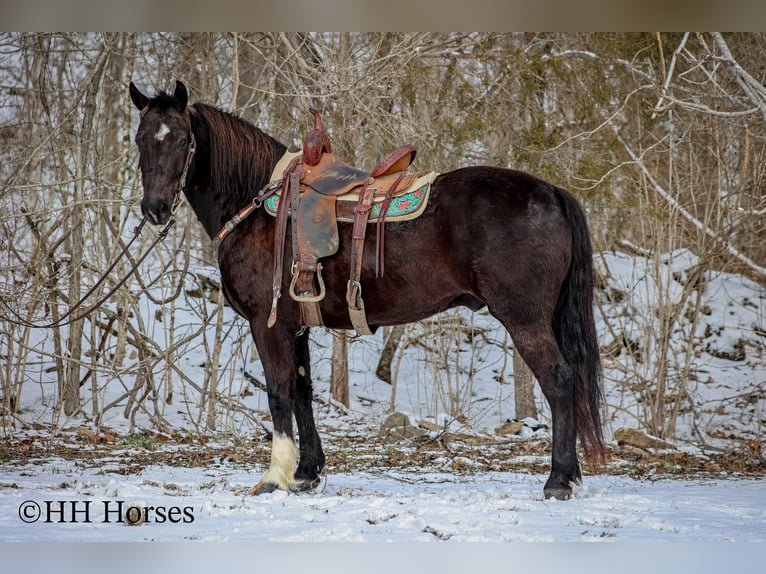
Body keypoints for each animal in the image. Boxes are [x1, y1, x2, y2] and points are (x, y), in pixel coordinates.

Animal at [129, 80, 605, 500]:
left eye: (182, 140)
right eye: (140, 139)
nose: (154, 209)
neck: (256, 203)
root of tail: (552, 192)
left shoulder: (268, 323)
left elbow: (278, 392)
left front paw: (274, 477)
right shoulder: (297, 326)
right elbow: (302, 392)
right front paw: (306, 473)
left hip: (524, 318)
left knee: (559, 380)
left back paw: (559, 480)